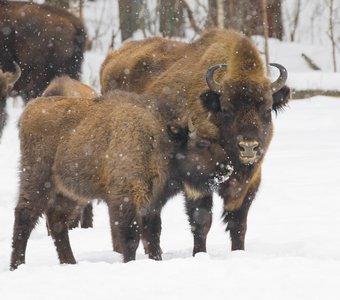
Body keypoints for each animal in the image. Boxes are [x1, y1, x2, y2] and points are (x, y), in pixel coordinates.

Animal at [99, 29, 290, 256]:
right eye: (227, 108)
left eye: (267, 109)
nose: (248, 146)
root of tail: (111, 59)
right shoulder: (196, 183)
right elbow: (202, 221)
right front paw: (199, 254)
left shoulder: (250, 182)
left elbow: (238, 224)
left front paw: (238, 253)